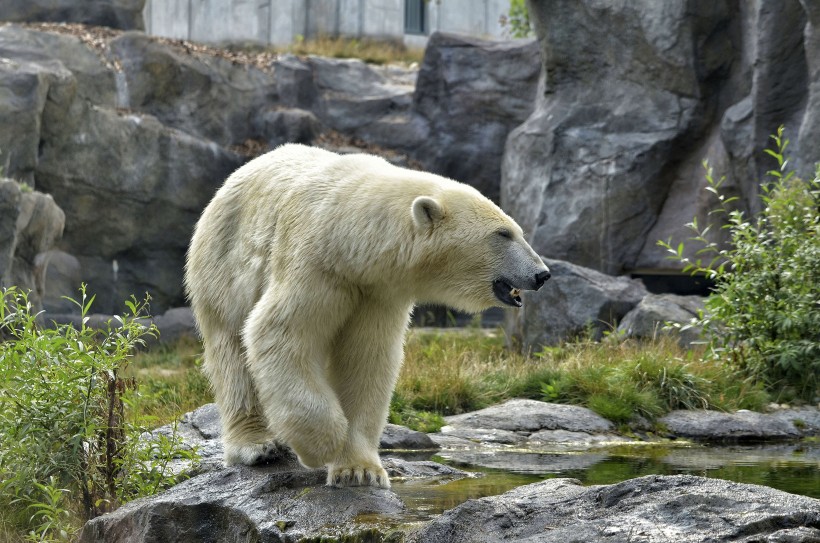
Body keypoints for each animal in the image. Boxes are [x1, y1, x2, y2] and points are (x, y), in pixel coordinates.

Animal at [186, 144, 552, 488]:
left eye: (516, 231)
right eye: (503, 234)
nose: (542, 274)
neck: (351, 237)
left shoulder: (378, 292)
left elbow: (365, 360)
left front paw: (359, 471)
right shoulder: (316, 265)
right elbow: (279, 334)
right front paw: (321, 445)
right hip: (222, 265)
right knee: (232, 353)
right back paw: (256, 446)